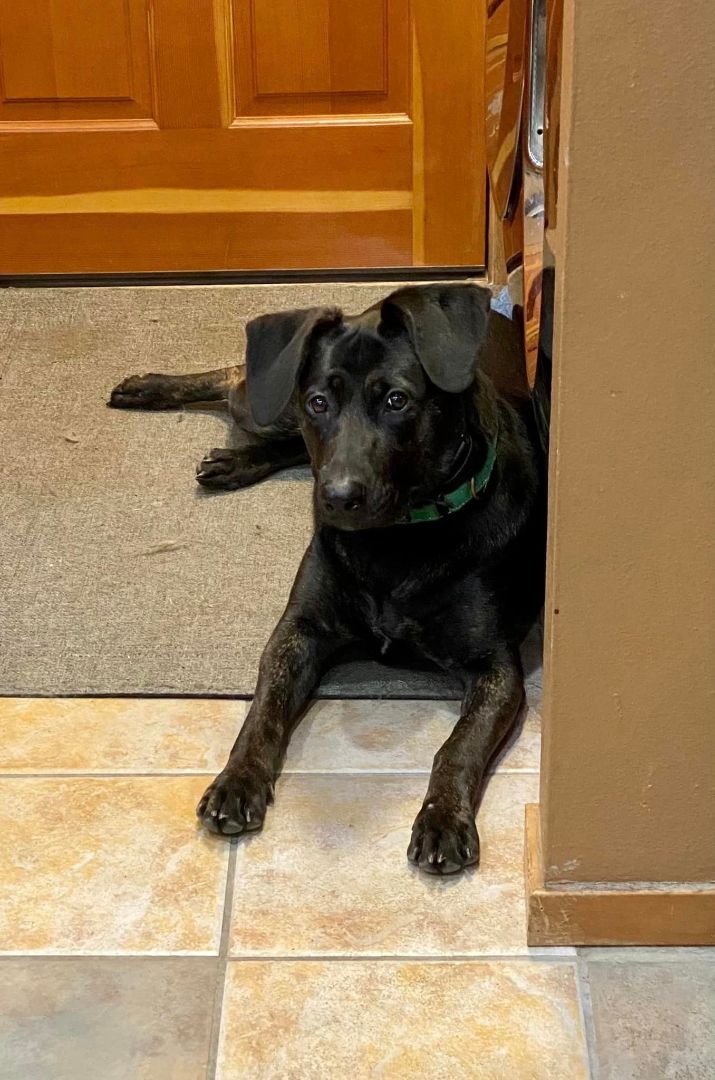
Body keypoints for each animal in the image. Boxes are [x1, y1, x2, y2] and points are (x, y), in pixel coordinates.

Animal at [112, 282, 546, 872]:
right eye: (321, 402)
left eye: (397, 401)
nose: (337, 497)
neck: (397, 539)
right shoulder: (299, 631)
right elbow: (263, 712)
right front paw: (236, 780)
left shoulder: (495, 668)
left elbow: (458, 746)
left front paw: (442, 817)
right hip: (272, 403)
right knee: (242, 381)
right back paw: (150, 390)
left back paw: (234, 459)